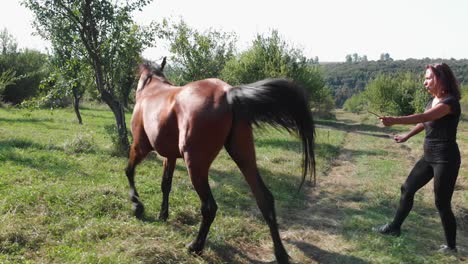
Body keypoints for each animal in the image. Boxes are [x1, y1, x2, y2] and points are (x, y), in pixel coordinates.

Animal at [124, 58, 316, 264]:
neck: (153, 89)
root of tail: (228, 94)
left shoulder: (139, 146)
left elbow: (129, 170)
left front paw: (137, 205)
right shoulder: (170, 156)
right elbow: (165, 184)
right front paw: (162, 214)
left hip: (196, 166)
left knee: (209, 207)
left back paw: (195, 247)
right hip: (245, 158)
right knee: (265, 199)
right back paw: (280, 254)